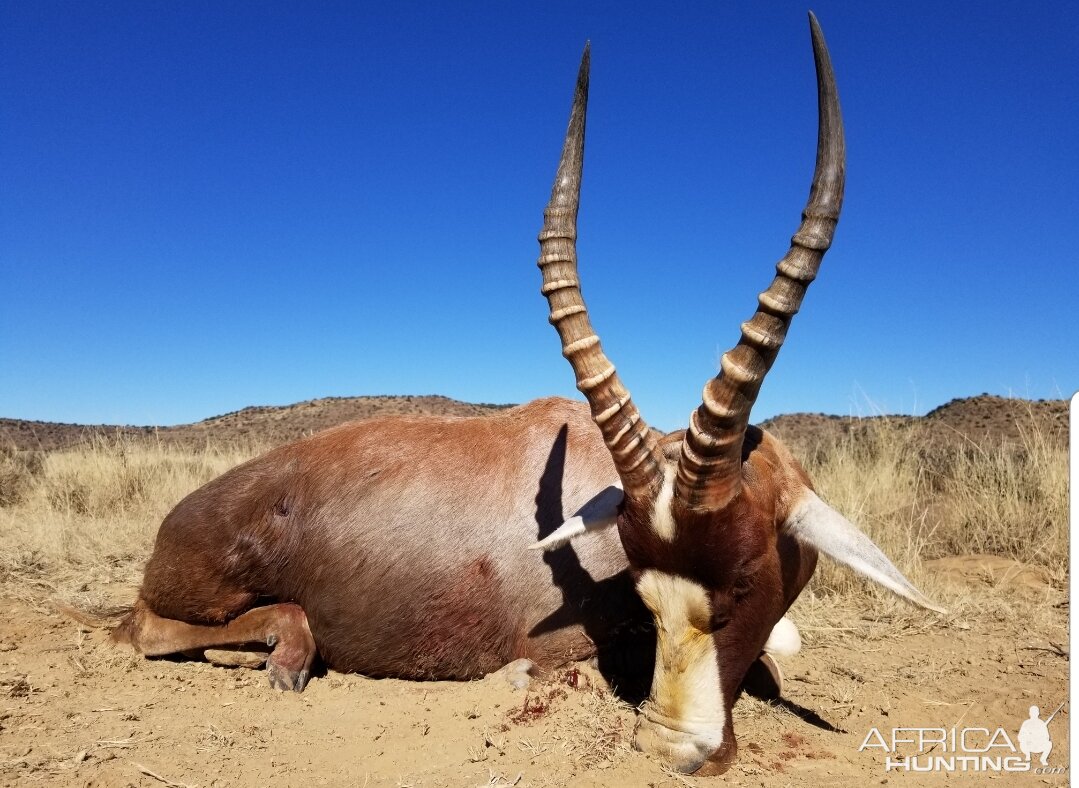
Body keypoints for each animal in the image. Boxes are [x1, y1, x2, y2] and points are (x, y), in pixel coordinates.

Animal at [115, 15, 936, 768]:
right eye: (645, 590)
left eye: (744, 579)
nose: (674, 749)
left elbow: (778, 653)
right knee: (144, 625)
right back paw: (282, 653)